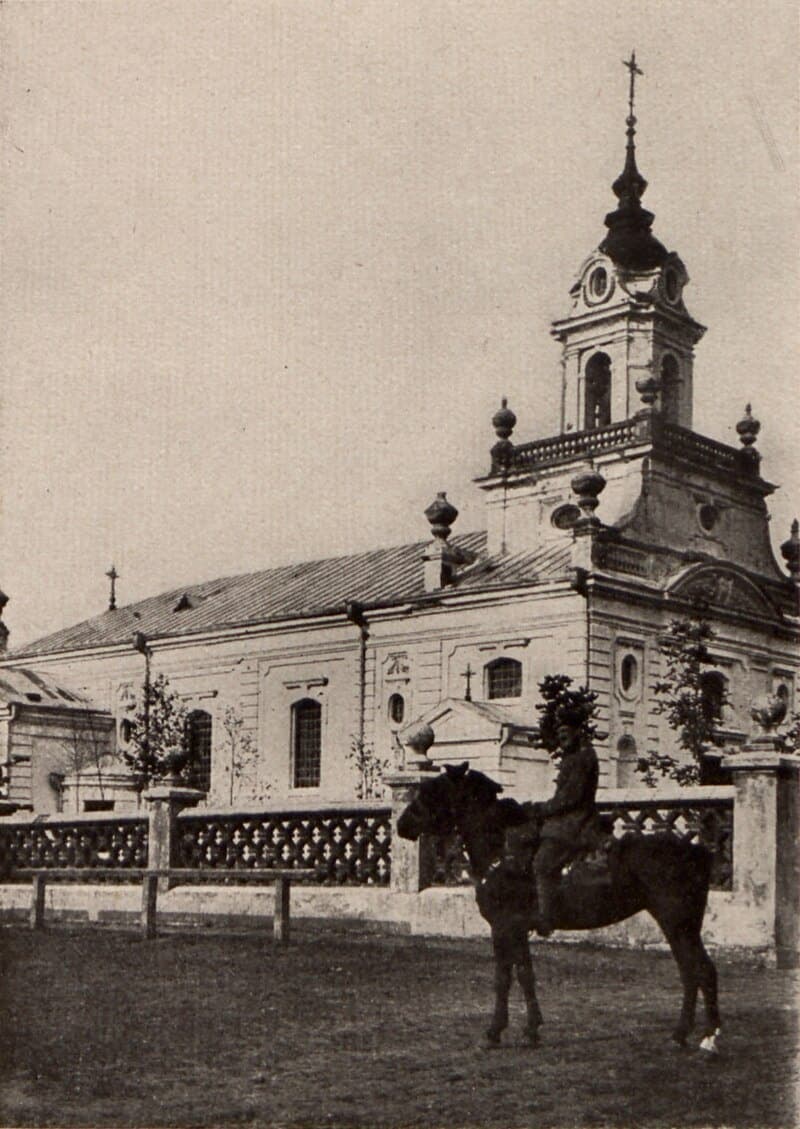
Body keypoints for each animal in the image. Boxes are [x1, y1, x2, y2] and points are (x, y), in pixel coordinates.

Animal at [397, 763, 722, 1052]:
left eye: (431, 791)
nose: (401, 825)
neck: (502, 852)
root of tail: (696, 850)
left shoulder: (503, 928)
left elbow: (503, 979)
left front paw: (494, 1032)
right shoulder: (518, 930)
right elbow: (525, 975)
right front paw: (531, 1030)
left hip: (676, 923)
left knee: (701, 971)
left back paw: (708, 1037)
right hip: (682, 926)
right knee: (691, 973)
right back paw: (682, 1034)